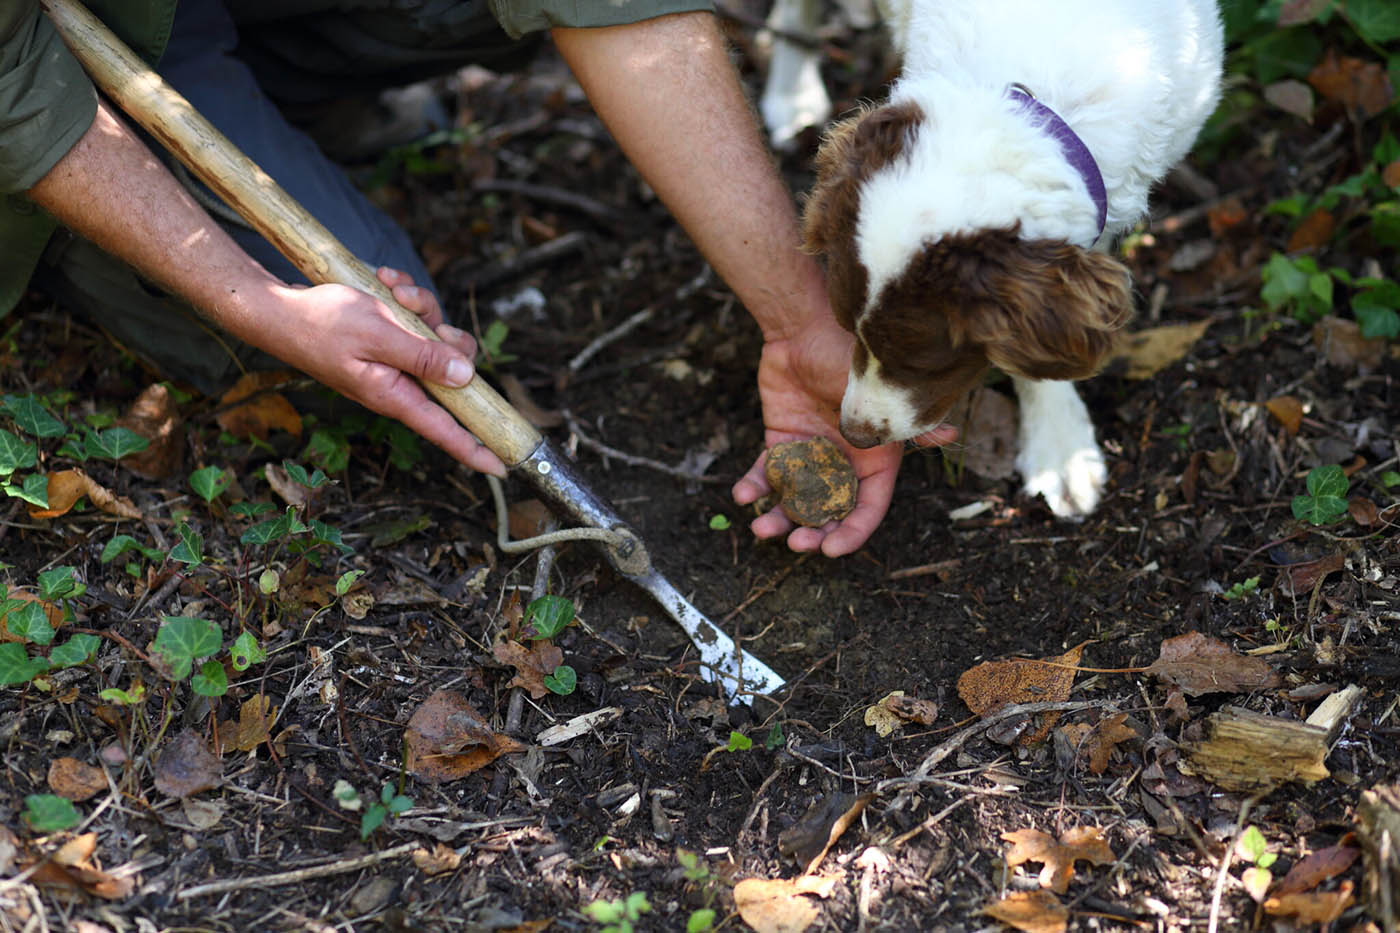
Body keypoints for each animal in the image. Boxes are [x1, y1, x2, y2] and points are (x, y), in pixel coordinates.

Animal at [778, 0, 1226, 515]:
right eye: (846, 328)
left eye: (921, 362)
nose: (855, 434)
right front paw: (1060, 446)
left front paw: (1060, 445)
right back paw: (790, 96)